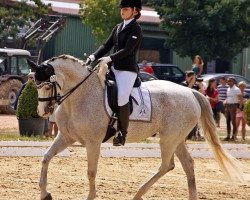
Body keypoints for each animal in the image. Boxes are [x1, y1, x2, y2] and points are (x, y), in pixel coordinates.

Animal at [28, 55, 243, 200]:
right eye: (35, 85)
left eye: (47, 85)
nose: (43, 112)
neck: (79, 96)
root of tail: (190, 92)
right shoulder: (66, 137)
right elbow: (45, 158)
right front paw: (45, 193)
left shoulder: (93, 142)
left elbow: (91, 171)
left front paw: (89, 196)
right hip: (176, 138)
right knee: (187, 164)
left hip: (168, 138)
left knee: (167, 165)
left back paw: (138, 193)